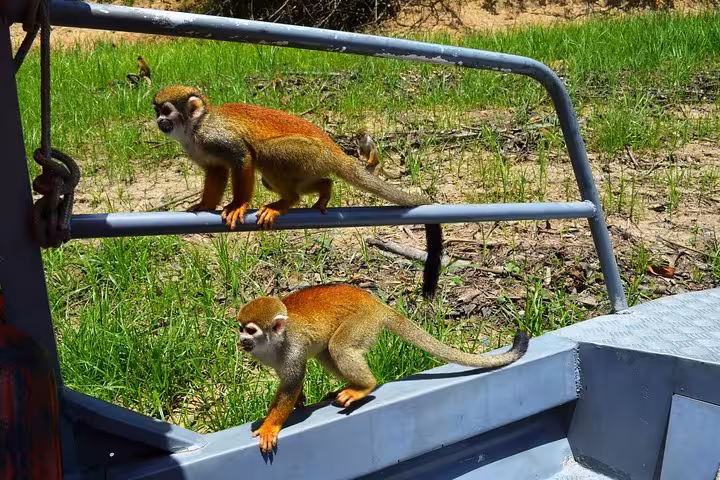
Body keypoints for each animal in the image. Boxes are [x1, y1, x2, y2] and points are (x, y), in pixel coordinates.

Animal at [152, 85, 444, 298]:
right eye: (157, 111)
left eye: (166, 110)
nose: (158, 121)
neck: (195, 129)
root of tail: (336, 152)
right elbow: (216, 170)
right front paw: (204, 205)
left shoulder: (214, 135)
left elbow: (242, 156)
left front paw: (238, 204)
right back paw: (324, 189)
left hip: (308, 154)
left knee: (263, 153)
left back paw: (288, 200)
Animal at [236, 284, 530, 454]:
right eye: (240, 328)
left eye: (251, 330)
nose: (240, 340)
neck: (275, 342)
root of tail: (375, 303)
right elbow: (290, 383)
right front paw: (298, 401)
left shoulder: (293, 347)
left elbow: (293, 381)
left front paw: (271, 425)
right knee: (327, 353)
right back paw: (350, 386)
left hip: (363, 322)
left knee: (338, 347)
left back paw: (364, 387)